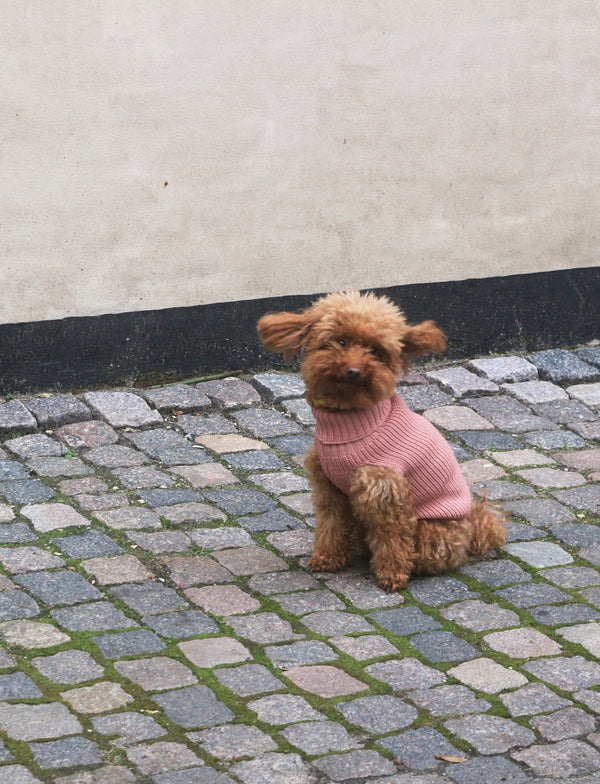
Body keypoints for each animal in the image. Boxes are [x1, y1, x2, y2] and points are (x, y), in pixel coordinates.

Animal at [255, 290, 504, 592]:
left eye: (374, 350)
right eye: (341, 341)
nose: (353, 370)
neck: (349, 420)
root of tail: (472, 525)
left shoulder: (386, 491)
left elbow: (391, 537)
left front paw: (391, 574)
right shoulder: (329, 487)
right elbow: (331, 524)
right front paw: (328, 558)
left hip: (430, 528)